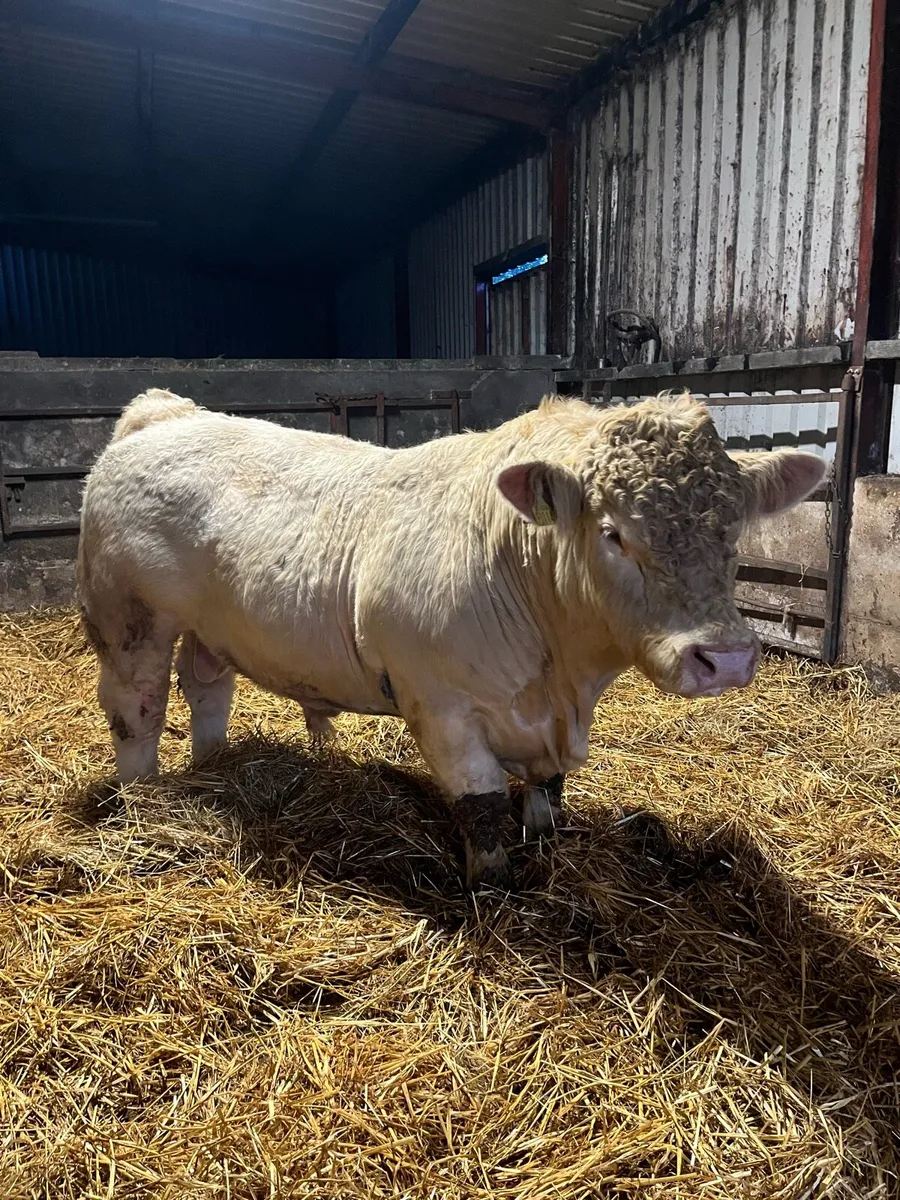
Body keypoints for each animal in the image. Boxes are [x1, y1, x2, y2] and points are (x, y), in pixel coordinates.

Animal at [77, 388, 825, 891]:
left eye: (734, 528)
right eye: (615, 533)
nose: (724, 658)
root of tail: (167, 412)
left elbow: (546, 795)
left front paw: (545, 844)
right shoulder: (441, 706)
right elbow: (483, 807)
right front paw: (494, 891)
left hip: (211, 628)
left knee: (207, 688)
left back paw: (213, 766)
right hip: (129, 618)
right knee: (136, 706)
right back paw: (145, 797)